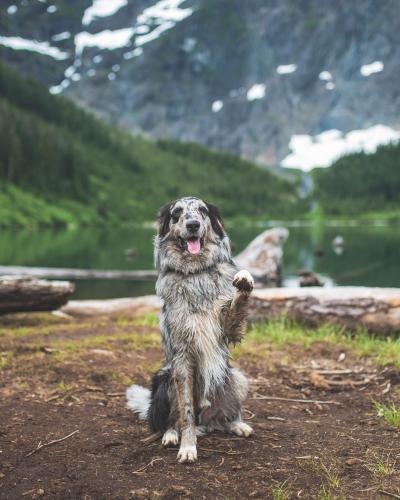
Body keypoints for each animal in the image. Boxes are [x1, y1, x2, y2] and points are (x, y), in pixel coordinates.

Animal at [126, 197, 255, 462]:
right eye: (177, 213)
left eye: (202, 211)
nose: (193, 224)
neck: (195, 273)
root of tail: (205, 420)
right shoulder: (182, 356)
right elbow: (185, 412)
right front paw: (187, 447)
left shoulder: (228, 330)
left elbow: (237, 303)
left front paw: (244, 282)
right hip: (165, 381)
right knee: (172, 420)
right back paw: (171, 435)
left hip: (236, 378)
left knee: (223, 419)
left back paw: (237, 424)